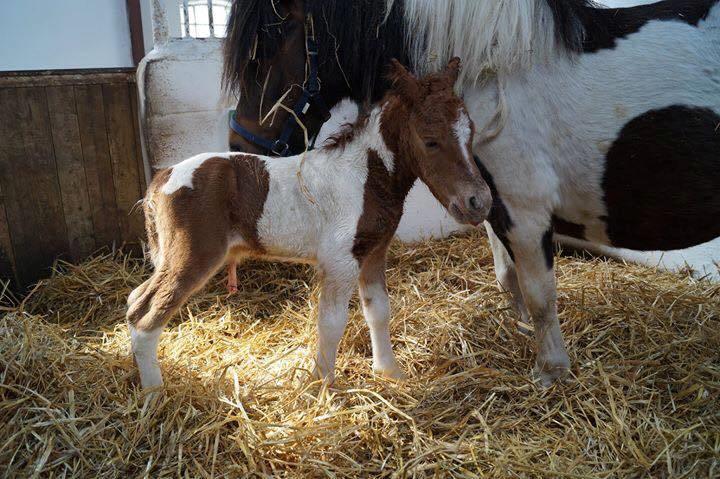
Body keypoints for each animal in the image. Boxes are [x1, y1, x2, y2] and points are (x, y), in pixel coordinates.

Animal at [126, 59, 492, 390]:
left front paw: (389, 372)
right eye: (430, 140)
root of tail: (162, 179)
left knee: (135, 298)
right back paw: (154, 395)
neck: (363, 175)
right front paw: (322, 384)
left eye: (471, 132)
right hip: (192, 256)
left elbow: (379, 311)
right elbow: (331, 322)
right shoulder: (340, 260)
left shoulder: (374, 252)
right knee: (145, 314)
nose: (479, 202)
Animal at [222, 0, 716, 384]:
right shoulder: (492, 207)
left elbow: (540, 294)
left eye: (263, 51)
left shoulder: (525, 211)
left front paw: (551, 371)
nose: (240, 149)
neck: (499, 73)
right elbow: (510, 282)